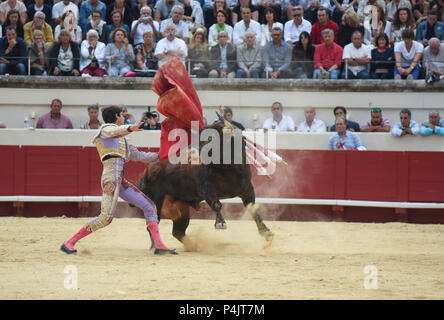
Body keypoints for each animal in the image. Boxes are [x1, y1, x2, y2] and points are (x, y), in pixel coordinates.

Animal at [138, 120, 274, 248]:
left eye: (210, 138)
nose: (190, 153)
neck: (230, 168)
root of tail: (147, 170)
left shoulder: (247, 190)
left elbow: (253, 209)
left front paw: (266, 232)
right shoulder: (206, 188)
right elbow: (217, 204)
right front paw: (220, 223)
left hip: (180, 208)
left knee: (178, 231)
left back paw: (194, 246)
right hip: (155, 201)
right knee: (154, 223)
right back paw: (158, 247)